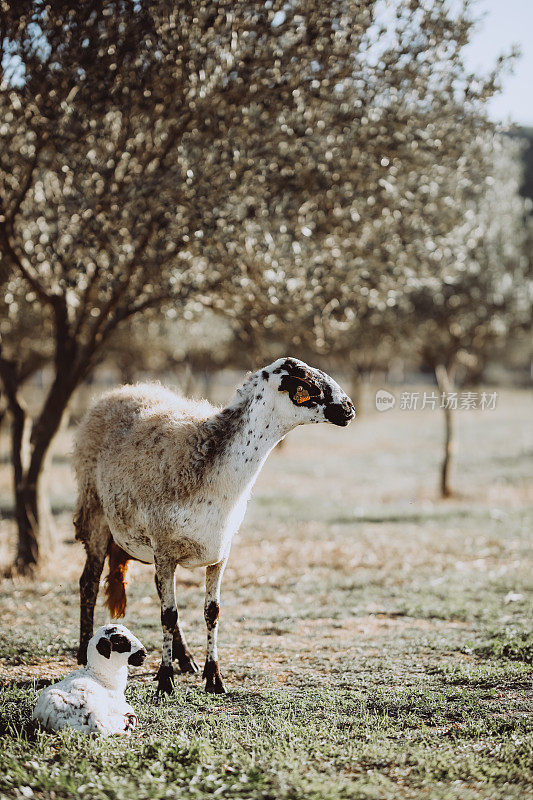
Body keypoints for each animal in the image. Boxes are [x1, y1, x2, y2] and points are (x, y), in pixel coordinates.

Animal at [70, 356, 354, 692]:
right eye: (306, 384)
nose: (349, 408)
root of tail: (117, 392)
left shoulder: (220, 551)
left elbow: (211, 612)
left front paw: (213, 677)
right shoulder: (165, 548)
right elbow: (168, 614)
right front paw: (165, 680)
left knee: (157, 591)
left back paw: (185, 659)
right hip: (96, 514)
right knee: (89, 582)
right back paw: (84, 649)